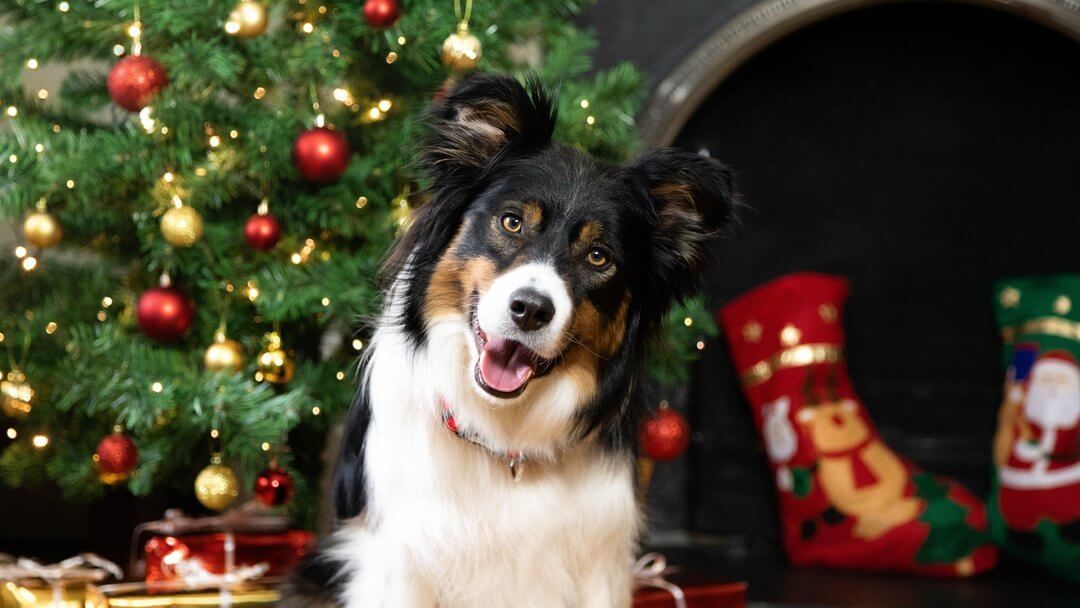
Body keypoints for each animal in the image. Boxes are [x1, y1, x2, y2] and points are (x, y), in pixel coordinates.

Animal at [280, 75, 734, 608]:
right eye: (512, 222)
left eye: (599, 257)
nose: (531, 309)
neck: (506, 439)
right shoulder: (396, 563)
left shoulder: (598, 565)